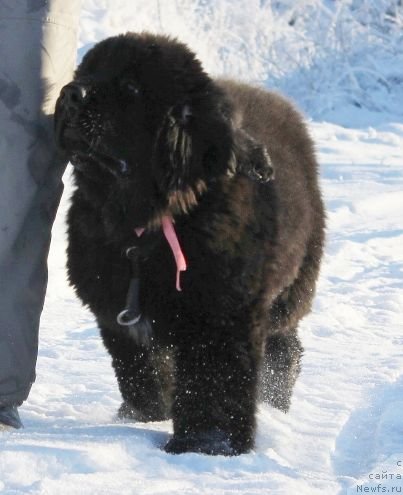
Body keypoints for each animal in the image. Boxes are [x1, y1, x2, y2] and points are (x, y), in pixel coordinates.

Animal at [54, 32, 326, 458]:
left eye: (130, 88)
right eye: (85, 72)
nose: (70, 94)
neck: (145, 223)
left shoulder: (218, 314)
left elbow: (211, 382)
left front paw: (208, 444)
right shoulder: (118, 316)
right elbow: (141, 374)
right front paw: (146, 417)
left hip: (290, 288)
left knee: (284, 349)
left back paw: (275, 401)